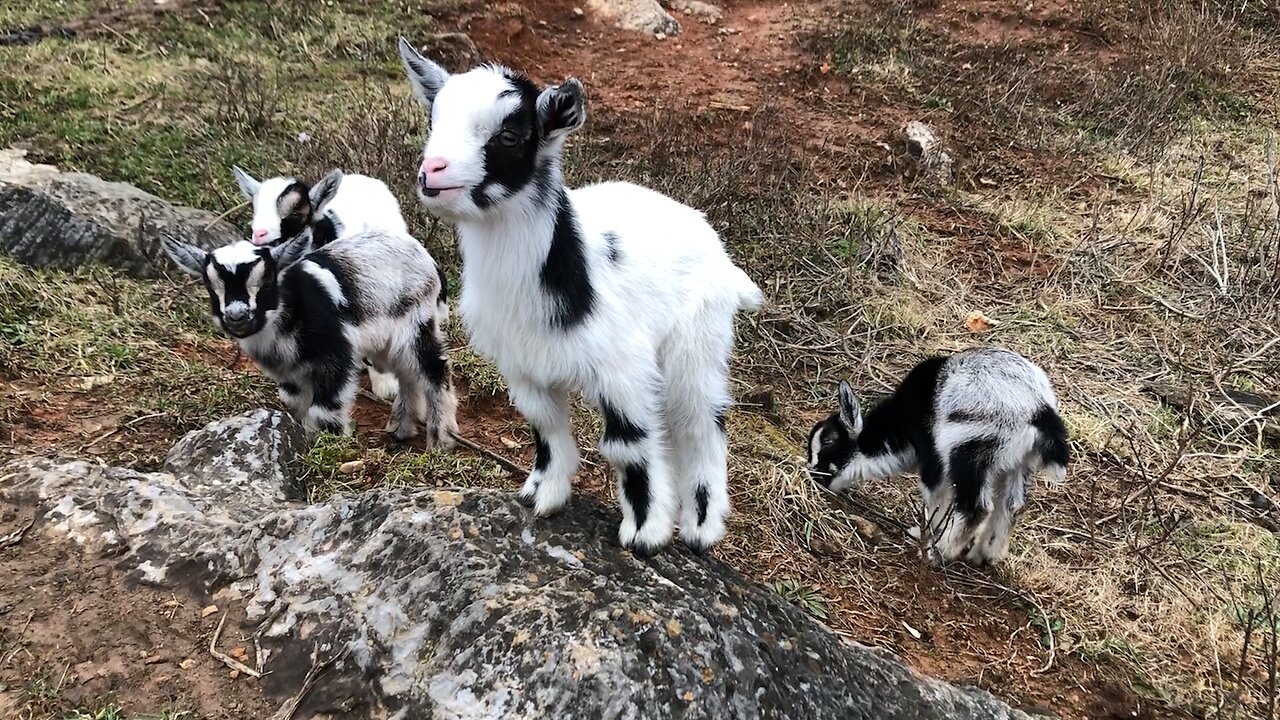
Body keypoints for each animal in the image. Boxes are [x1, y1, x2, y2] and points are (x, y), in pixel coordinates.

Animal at [162, 229, 458, 443]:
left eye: (266, 283)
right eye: (212, 289)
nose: (237, 317)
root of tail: (430, 261)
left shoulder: (335, 354)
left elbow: (323, 409)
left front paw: (330, 447)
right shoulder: (289, 372)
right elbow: (297, 403)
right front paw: (306, 441)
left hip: (415, 322)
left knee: (433, 369)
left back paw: (441, 438)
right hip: (387, 340)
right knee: (407, 372)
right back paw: (401, 428)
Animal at [396, 37, 757, 556]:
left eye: (510, 135)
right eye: (433, 121)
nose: (432, 172)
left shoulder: (623, 369)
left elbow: (628, 445)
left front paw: (645, 532)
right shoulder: (523, 366)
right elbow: (545, 428)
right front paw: (542, 495)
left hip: (698, 338)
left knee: (699, 421)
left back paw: (701, 527)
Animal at [808, 348, 1070, 566]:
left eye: (829, 443)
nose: (813, 475)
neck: (899, 427)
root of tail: (1039, 410)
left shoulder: (931, 454)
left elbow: (934, 496)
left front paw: (926, 536)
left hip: (966, 449)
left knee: (976, 507)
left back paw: (941, 552)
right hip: (1018, 463)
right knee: (1012, 505)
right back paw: (985, 555)